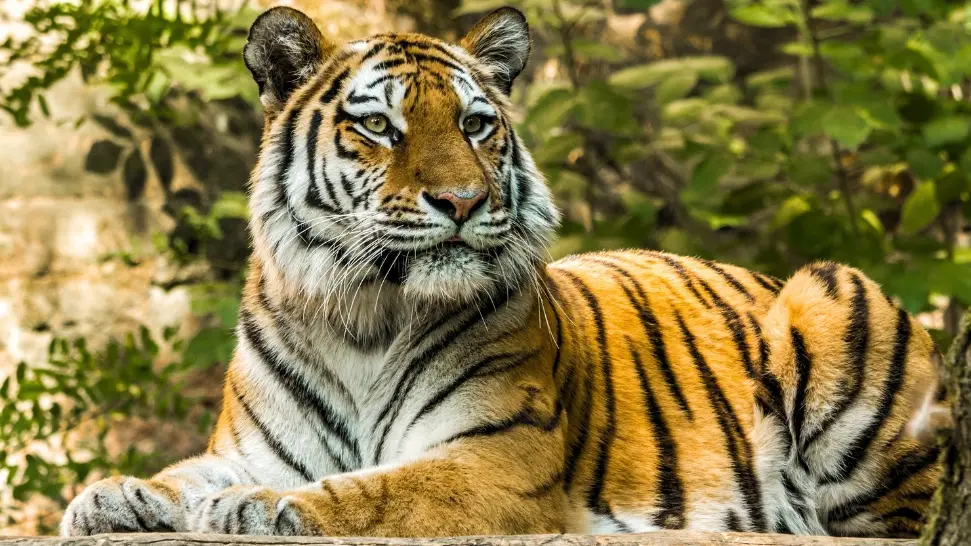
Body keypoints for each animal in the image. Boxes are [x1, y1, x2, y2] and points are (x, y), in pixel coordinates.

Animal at [60, 5, 950, 539]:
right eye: (379, 128)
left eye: (475, 123)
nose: (461, 200)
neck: (362, 312)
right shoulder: (256, 443)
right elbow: (185, 470)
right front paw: (112, 493)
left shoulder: (499, 458)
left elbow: (377, 488)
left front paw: (259, 507)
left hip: (831, 296)